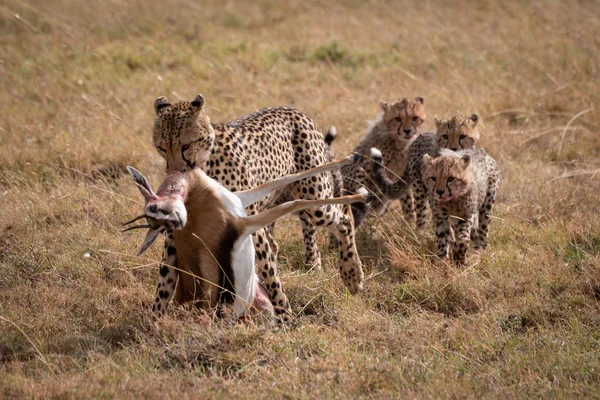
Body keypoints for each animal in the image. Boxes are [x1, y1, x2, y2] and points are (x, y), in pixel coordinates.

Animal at [150, 94, 366, 316]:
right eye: (161, 147)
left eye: (185, 145)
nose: (174, 173)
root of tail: (293, 110)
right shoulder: (175, 236)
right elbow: (164, 281)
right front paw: (155, 319)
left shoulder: (248, 225)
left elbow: (268, 271)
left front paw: (284, 313)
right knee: (282, 240)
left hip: (315, 201)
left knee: (344, 216)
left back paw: (352, 274)